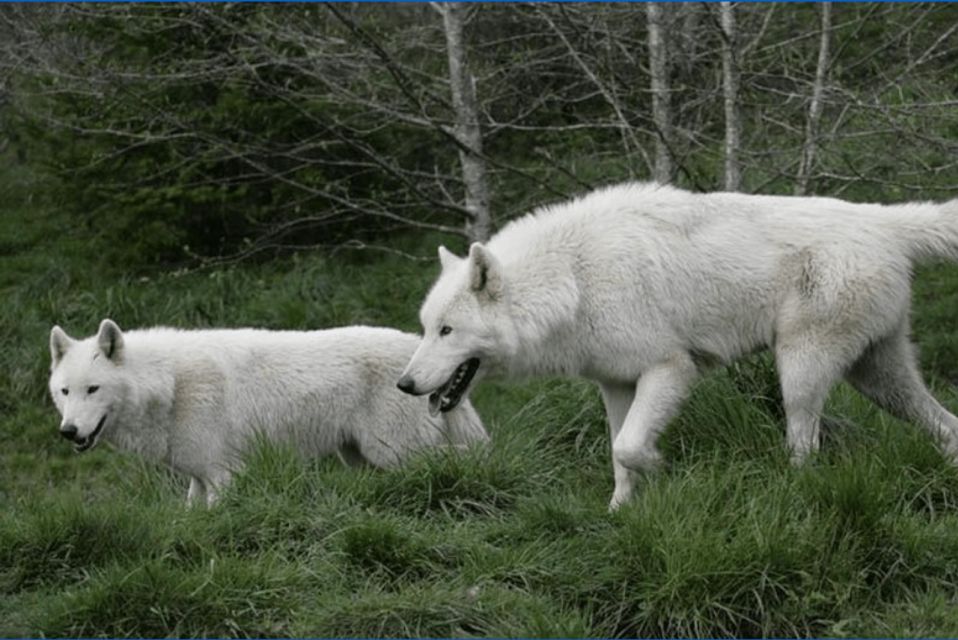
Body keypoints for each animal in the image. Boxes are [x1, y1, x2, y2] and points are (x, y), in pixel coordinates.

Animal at [47, 320, 488, 504]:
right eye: (65, 392)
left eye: (93, 389)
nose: (68, 431)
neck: (171, 386)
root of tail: (415, 350)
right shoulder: (199, 478)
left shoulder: (225, 475)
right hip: (364, 459)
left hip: (395, 453)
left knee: (465, 456)